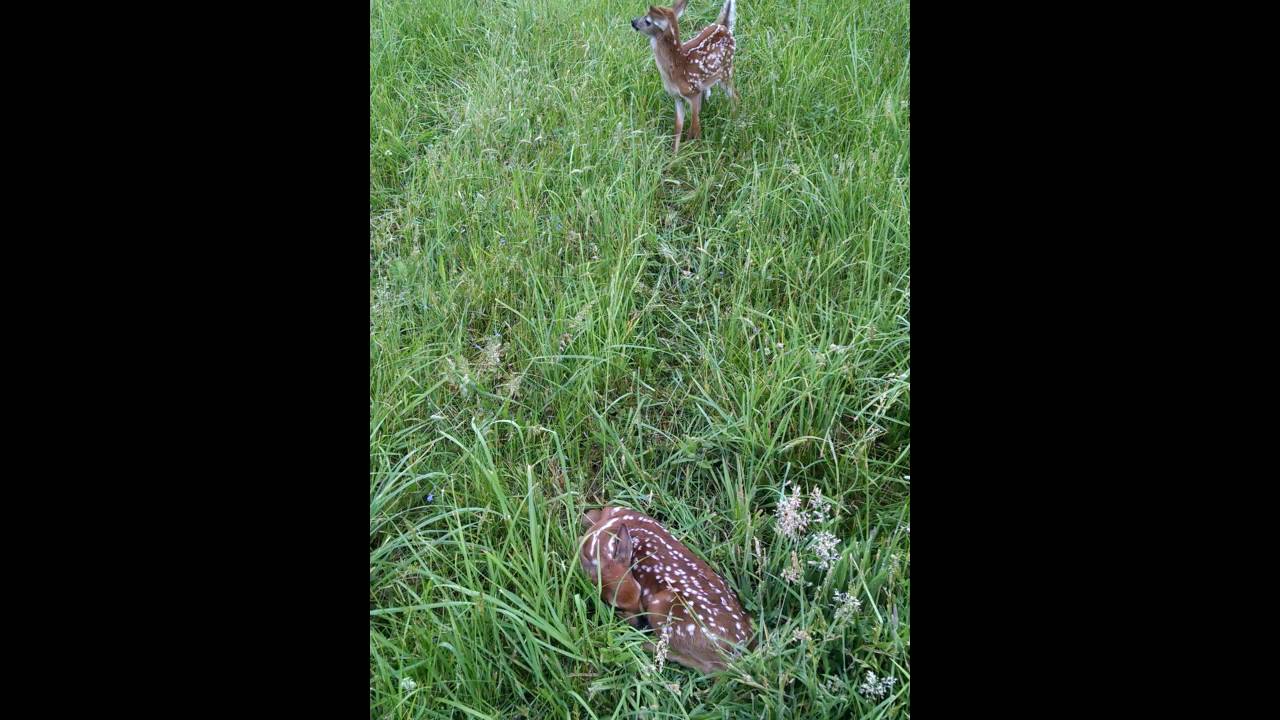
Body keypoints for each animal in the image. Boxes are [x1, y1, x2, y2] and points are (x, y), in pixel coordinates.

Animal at [579, 506, 755, 673]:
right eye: (614, 606)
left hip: (662, 609)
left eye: (640, 592)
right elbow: (587, 515)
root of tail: (741, 647)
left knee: (710, 667)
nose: (644, 626)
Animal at [631, 0, 738, 153]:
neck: (676, 68)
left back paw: (735, 122)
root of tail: (724, 26)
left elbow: (695, 125)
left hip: (726, 70)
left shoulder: (693, 93)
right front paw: (675, 154)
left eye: (648, 21)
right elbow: (678, 126)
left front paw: (696, 150)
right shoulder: (677, 97)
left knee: (735, 96)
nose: (633, 21)